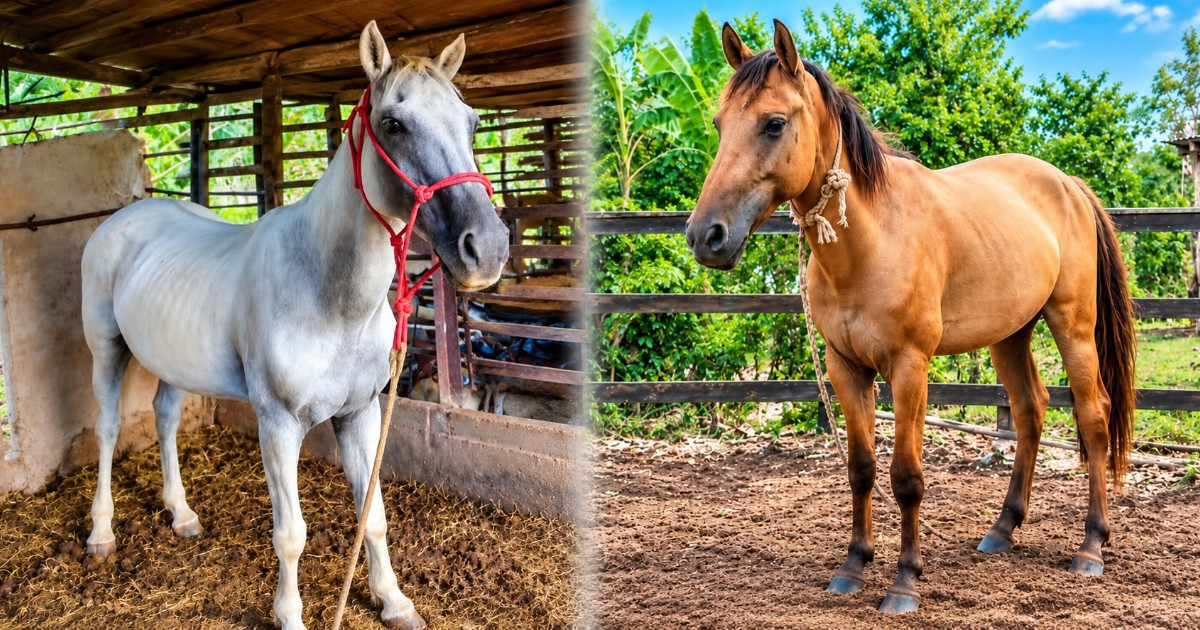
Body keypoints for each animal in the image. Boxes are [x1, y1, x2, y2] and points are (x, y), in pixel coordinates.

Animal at [80, 22, 508, 630]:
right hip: (106, 349)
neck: (329, 297)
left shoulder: (360, 414)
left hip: (173, 361)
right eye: (393, 124)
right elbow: (290, 535)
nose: (487, 249)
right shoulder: (278, 425)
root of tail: (124, 217)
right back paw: (100, 533)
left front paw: (394, 601)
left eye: (471, 122)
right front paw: (290, 615)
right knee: (109, 427)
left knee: (164, 419)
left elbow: (373, 515)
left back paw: (181, 514)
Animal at [686, 20, 1136, 614]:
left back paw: (1090, 547)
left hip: (1073, 327)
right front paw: (853, 566)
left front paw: (904, 582)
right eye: (719, 124)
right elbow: (860, 469)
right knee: (1030, 410)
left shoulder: (909, 368)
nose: (705, 236)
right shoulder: (845, 368)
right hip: (1010, 335)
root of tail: (1069, 185)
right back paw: (1003, 529)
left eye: (774, 123)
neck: (872, 240)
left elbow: (906, 477)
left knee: (1093, 416)